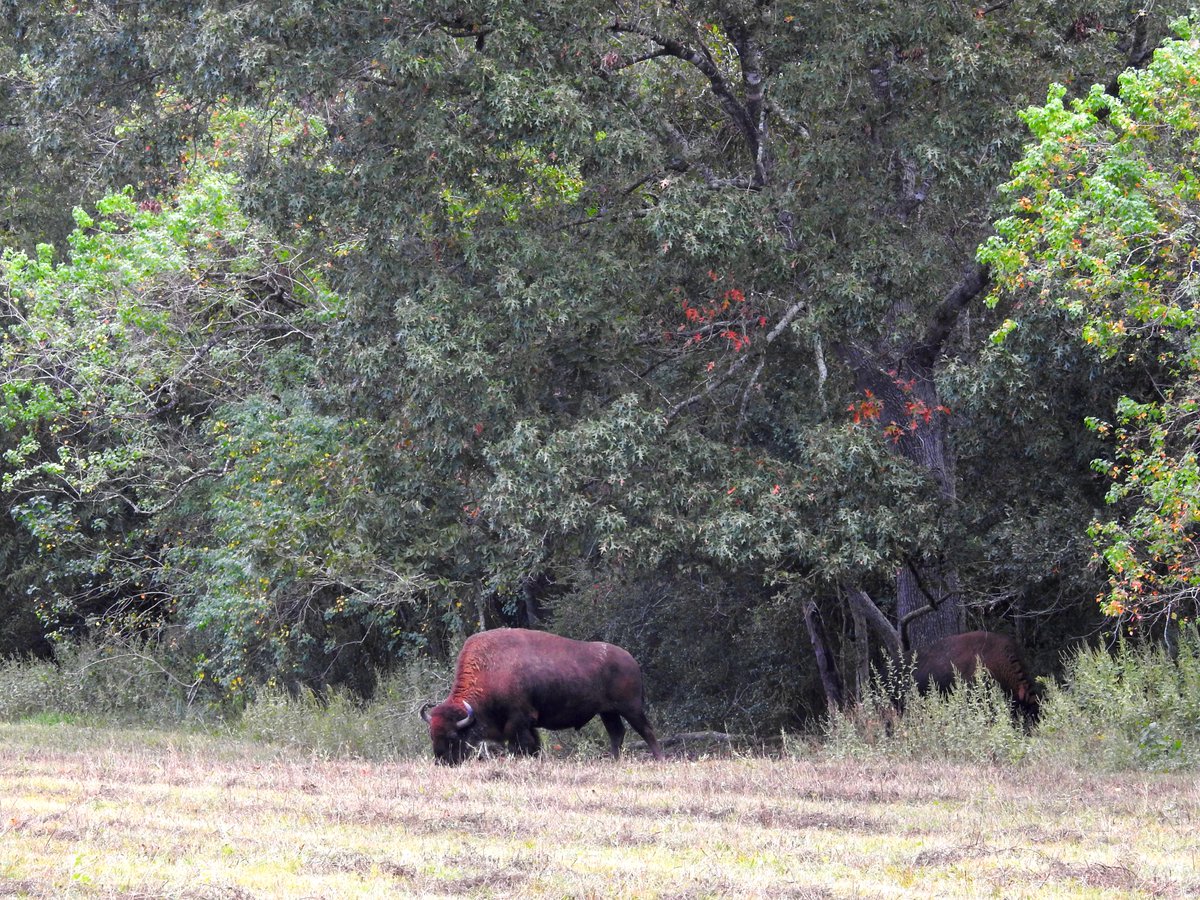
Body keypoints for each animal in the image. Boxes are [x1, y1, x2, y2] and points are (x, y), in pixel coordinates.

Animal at [419, 627, 665, 764]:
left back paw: (659, 759)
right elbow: (534, 745)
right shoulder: (526, 724)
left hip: (631, 708)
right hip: (607, 712)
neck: (491, 668)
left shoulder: (518, 721)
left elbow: (523, 745)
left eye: (453, 736)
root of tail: (631, 660)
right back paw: (614, 761)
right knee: (617, 733)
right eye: (431, 735)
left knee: (646, 730)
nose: (442, 762)